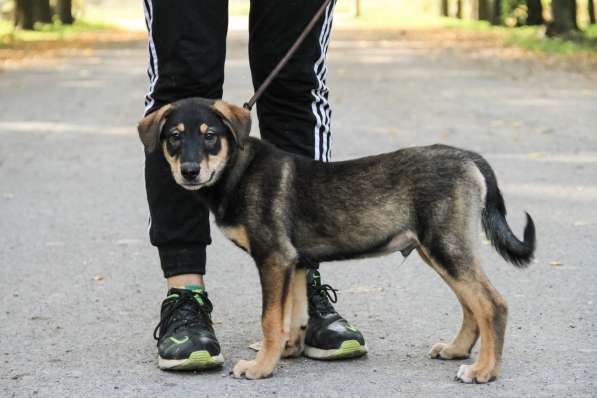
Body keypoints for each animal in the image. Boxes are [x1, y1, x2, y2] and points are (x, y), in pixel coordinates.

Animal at [137, 96, 532, 382]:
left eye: (210, 136)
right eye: (174, 137)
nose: (190, 172)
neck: (238, 170)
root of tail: (467, 157)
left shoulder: (273, 257)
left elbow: (270, 319)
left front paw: (261, 367)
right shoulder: (294, 262)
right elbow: (291, 315)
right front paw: (288, 350)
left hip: (445, 246)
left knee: (492, 304)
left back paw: (484, 371)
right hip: (439, 249)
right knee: (472, 305)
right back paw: (456, 349)